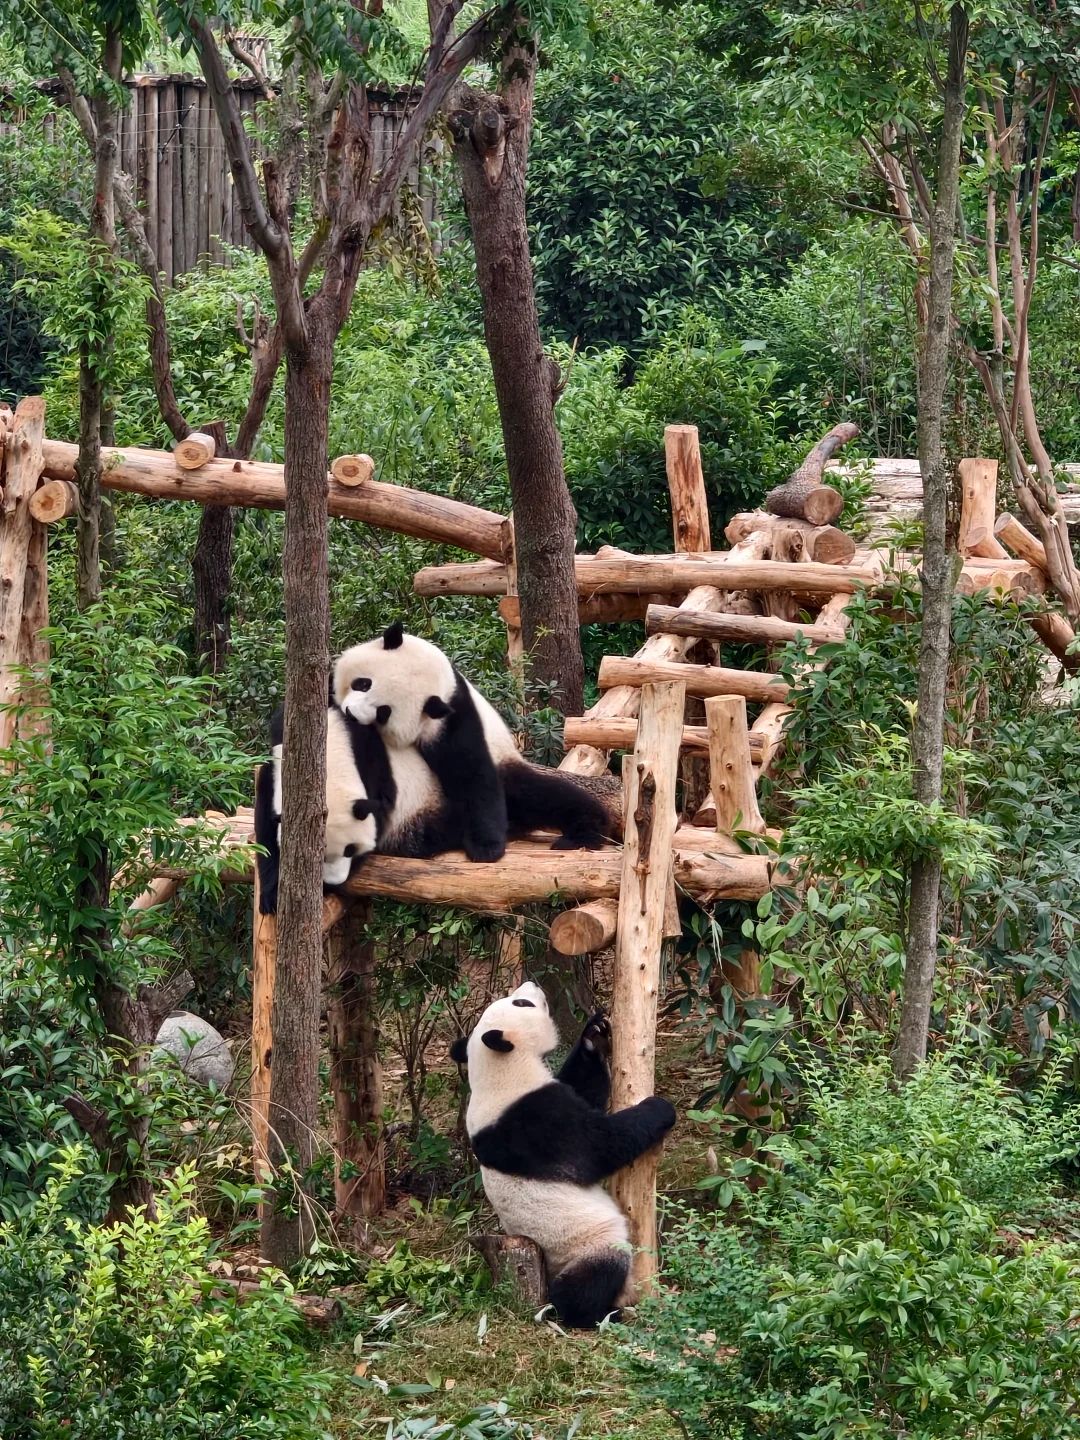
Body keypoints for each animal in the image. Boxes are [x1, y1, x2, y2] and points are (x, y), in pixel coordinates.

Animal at [253, 696, 393, 915]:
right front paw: (272, 897)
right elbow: (266, 829)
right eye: (319, 857)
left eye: (350, 850)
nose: (336, 881)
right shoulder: (276, 767)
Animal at [332, 623, 615, 863]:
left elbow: (470, 772)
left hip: (507, 767)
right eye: (363, 683)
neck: (444, 679)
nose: (351, 714)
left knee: (540, 794)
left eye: (384, 712)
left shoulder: (451, 719)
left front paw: (486, 847)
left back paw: (584, 830)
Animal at [449, 981, 676, 1328]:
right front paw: (660, 1109)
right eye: (522, 1003)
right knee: (591, 1278)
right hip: (586, 1244)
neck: (498, 1072)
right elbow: (596, 1148)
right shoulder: (533, 1122)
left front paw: (595, 1035)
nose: (532, 984)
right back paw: (596, 1314)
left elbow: (584, 1087)